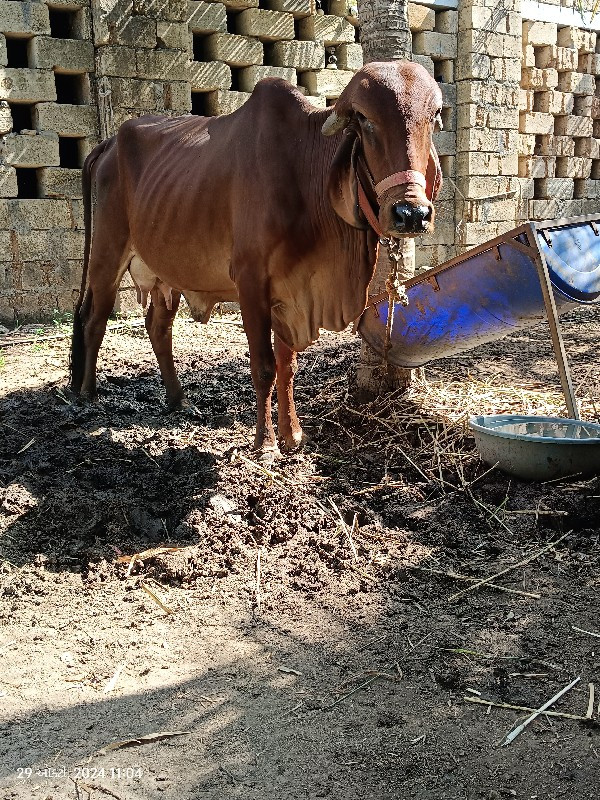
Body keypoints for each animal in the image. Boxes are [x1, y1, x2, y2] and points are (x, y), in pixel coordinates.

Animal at [70, 59, 442, 460]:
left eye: (432, 118)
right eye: (365, 120)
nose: (411, 213)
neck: (302, 171)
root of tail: (108, 143)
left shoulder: (291, 292)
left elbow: (287, 365)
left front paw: (293, 435)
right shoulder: (251, 283)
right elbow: (264, 367)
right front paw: (265, 443)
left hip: (166, 270)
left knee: (158, 327)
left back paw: (178, 400)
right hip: (107, 253)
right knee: (95, 318)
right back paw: (88, 394)